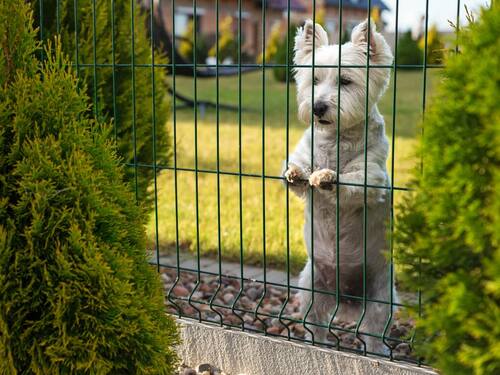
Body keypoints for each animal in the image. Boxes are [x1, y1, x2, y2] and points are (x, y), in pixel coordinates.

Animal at [284, 19, 396, 354]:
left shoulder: (372, 177)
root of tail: (345, 296)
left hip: (380, 298)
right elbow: (297, 173)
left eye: (345, 81)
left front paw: (327, 177)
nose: (318, 107)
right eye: (314, 80)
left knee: (375, 335)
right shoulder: (304, 153)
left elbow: (352, 182)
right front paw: (297, 172)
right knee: (316, 326)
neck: (336, 140)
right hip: (311, 289)